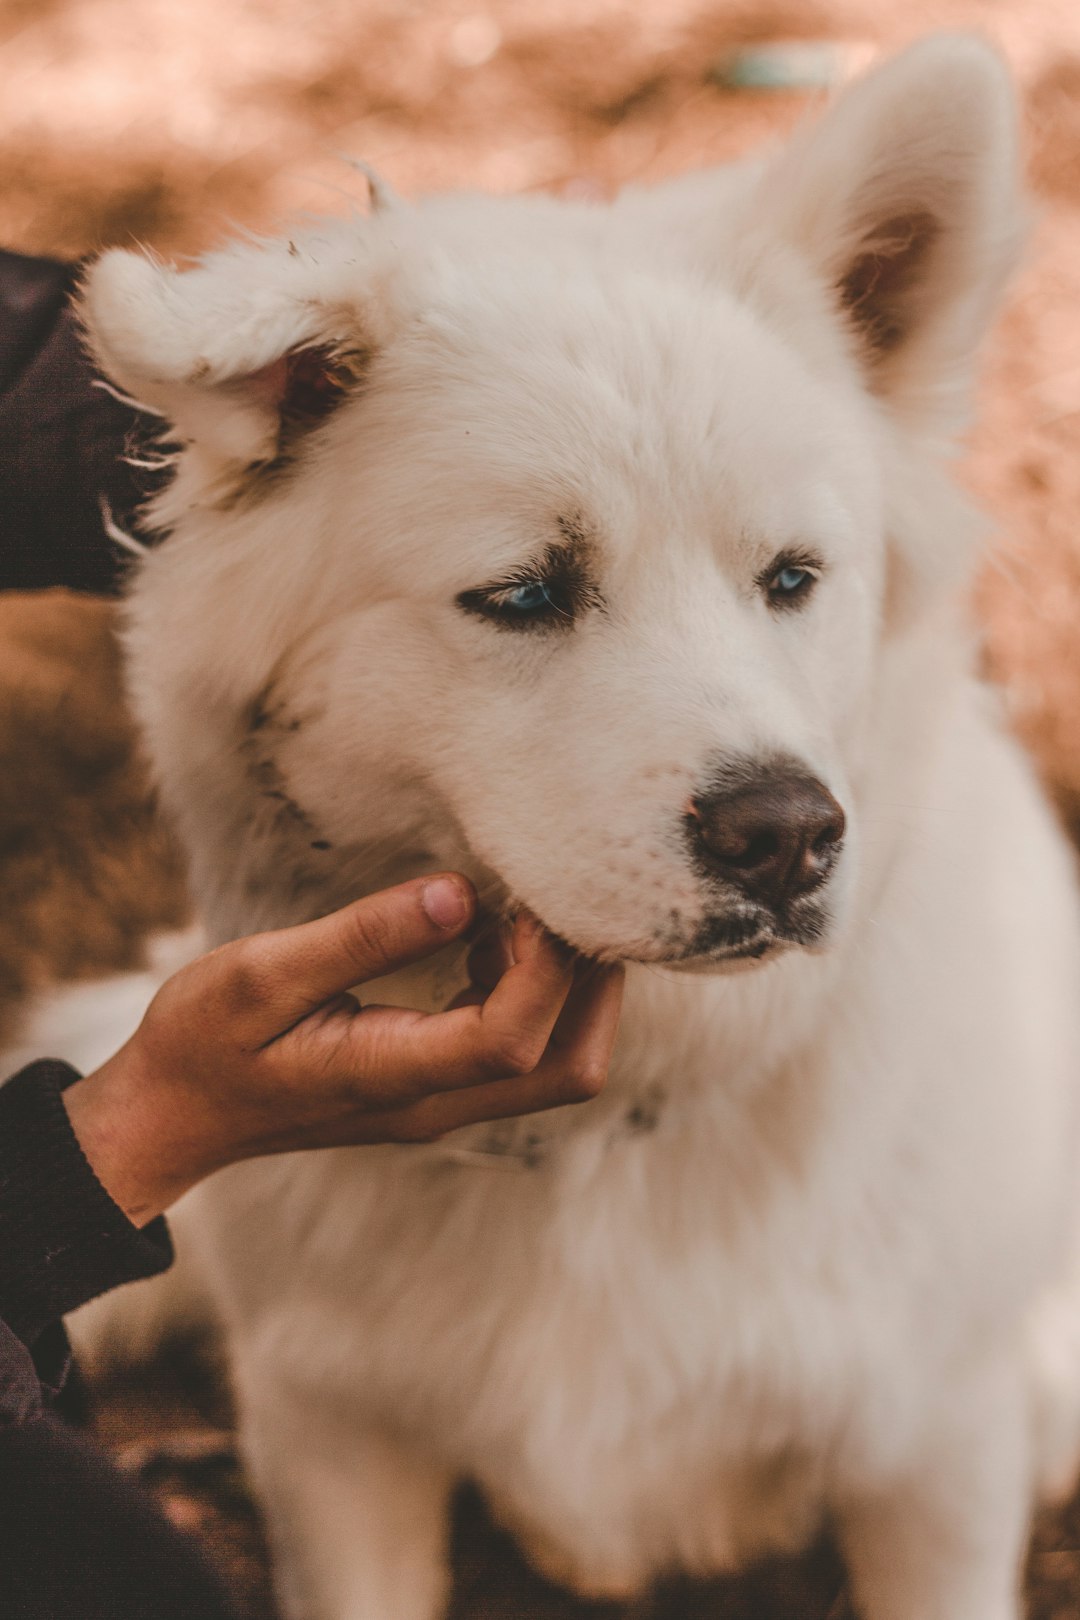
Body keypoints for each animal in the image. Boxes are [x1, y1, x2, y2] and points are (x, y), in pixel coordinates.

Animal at [80, 38, 1080, 1620]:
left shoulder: (935, 1457)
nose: (789, 837)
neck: (619, 1131)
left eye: (791, 577)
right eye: (525, 595)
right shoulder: (329, 1438)